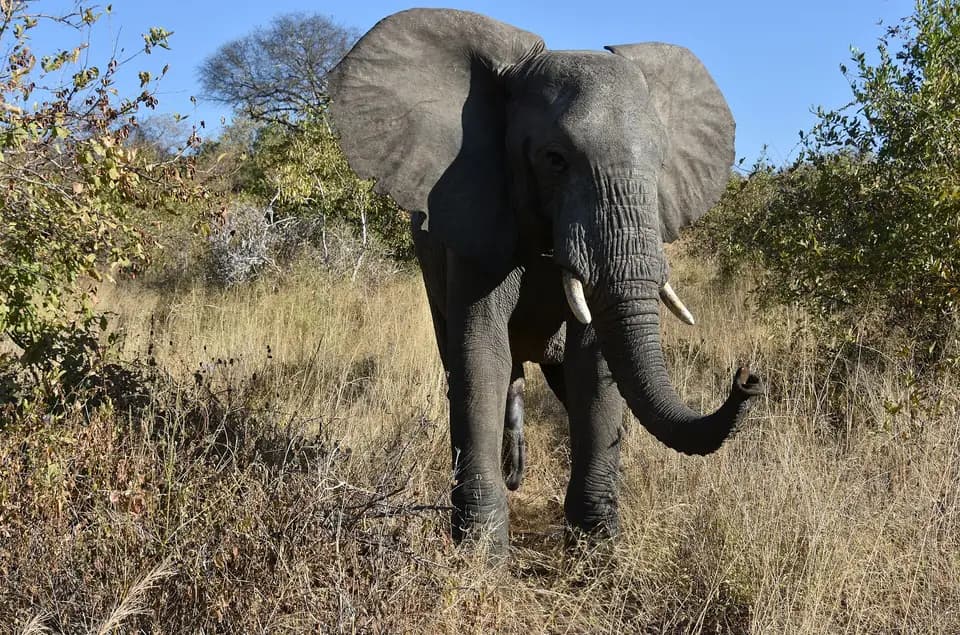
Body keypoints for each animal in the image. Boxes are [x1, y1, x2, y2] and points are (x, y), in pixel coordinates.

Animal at [328, 8, 763, 551]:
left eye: (661, 164)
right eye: (555, 159)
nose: (747, 379)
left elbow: (592, 365)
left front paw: (596, 550)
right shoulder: (475, 220)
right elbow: (482, 355)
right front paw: (482, 555)